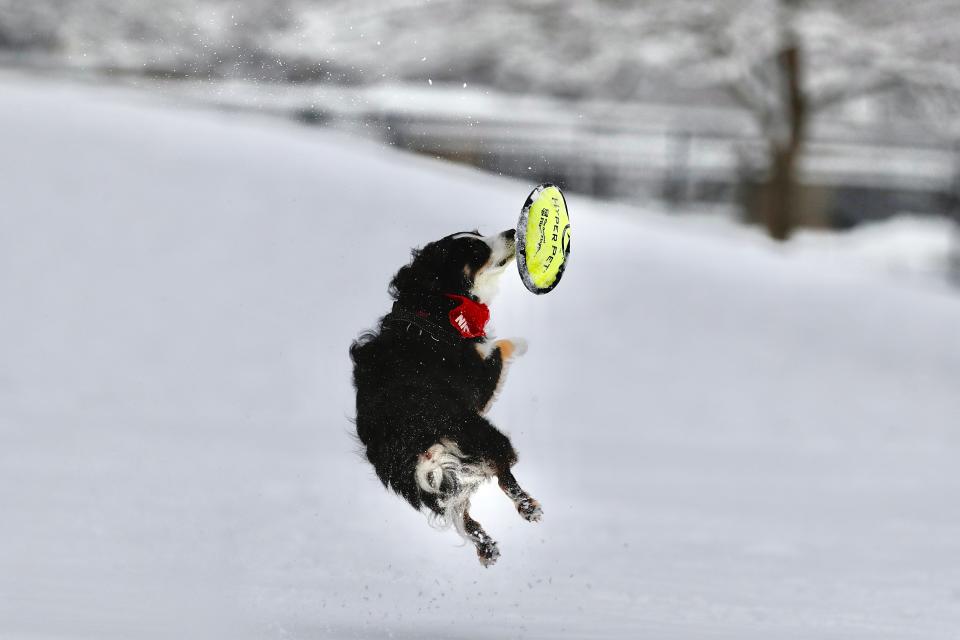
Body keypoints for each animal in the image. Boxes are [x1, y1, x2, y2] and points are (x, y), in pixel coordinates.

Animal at [348, 229, 540, 564]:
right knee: (502, 473)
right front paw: (520, 342)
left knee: (460, 515)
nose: (511, 231)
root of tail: (418, 443)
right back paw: (528, 508)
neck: (432, 305)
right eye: (476, 251)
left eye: (478, 234)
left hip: (428, 483)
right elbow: (498, 347)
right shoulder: (479, 384)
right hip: (482, 435)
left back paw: (487, 547)